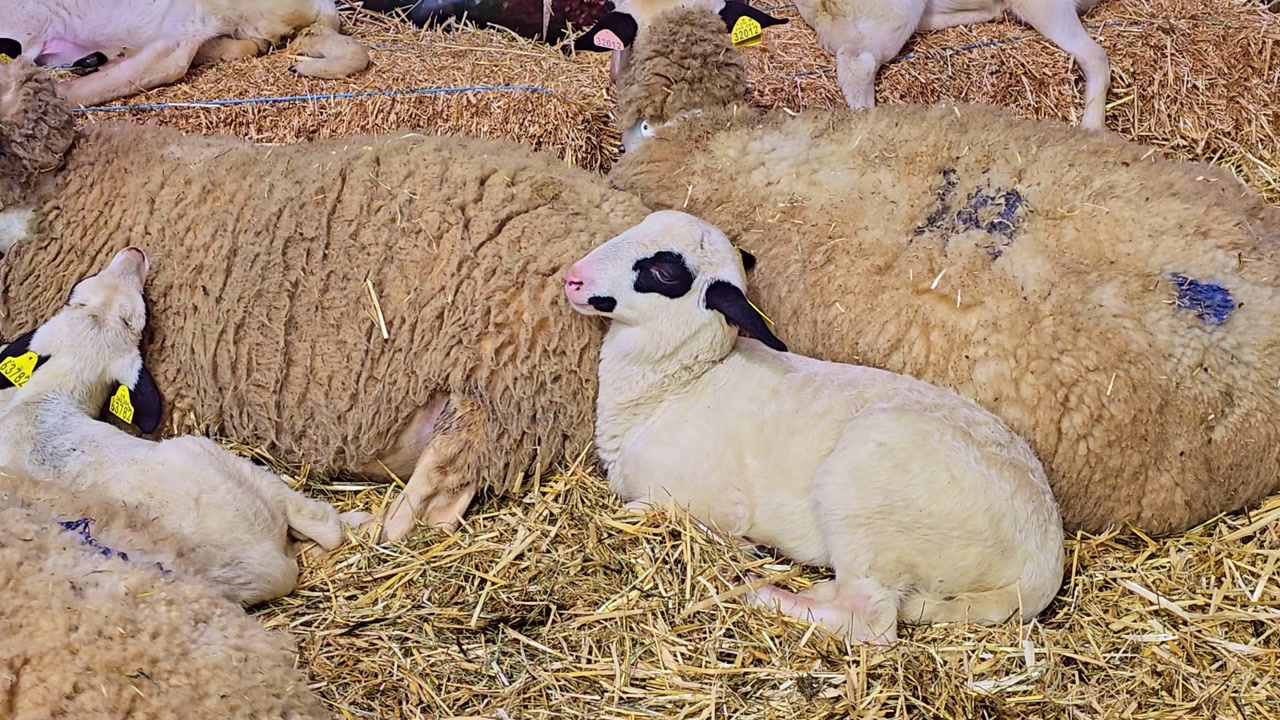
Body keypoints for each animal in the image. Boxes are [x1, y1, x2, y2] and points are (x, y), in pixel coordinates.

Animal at [0, 246, 360, 606]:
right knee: (323, 523)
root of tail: (271, 562)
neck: (49, 396)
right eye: (77, 290)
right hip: (221, 457)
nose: (133, 252)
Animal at [564, 209, 1065, 643]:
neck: (676, 386)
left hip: (866, 502)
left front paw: (743, 551)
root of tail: (1042, 562)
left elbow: (646, 512)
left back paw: (760, 592)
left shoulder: (696, 501)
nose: (573, 278)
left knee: (869, 622)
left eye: (666, 273)